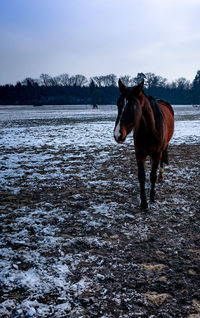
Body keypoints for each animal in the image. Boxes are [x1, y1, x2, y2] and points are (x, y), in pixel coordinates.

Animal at [113, 78, 174, 210]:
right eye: (118, 104)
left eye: (133, 105)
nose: (117, 134)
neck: (149, 130)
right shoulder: (139, 153)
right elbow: (141, 176)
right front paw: (144, 203)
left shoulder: (157, 154)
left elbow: (152, 175)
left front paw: (152, 199)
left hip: (163, 148)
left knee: (161, 162)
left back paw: (161, 176)